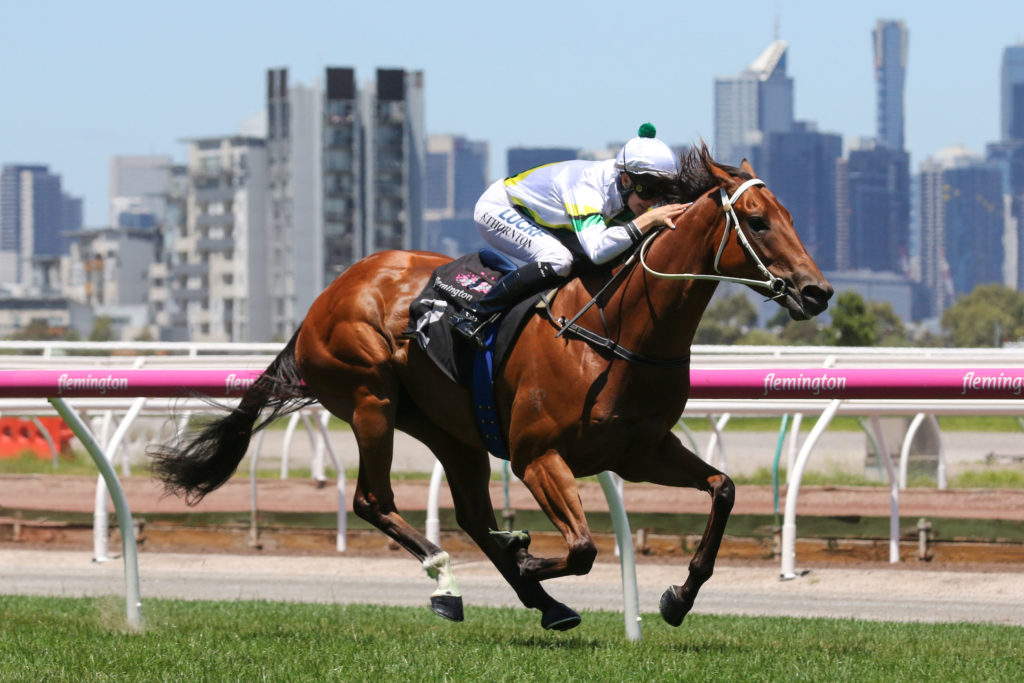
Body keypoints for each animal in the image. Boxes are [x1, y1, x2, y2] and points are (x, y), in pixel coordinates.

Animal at [151, 144, 832, 631]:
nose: (817, 291)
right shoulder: (537, 455)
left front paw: (677, 597)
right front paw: (530, 551)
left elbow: (723, 490)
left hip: (451, 431)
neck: (617, 331)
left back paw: (543, 601)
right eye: (756, 221)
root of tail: (327, 296)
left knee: (473, 515)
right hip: (371, 400)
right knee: (374, 500)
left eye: (791, 217)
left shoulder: (640, 452)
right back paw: (450, 582)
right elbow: (583, 547)